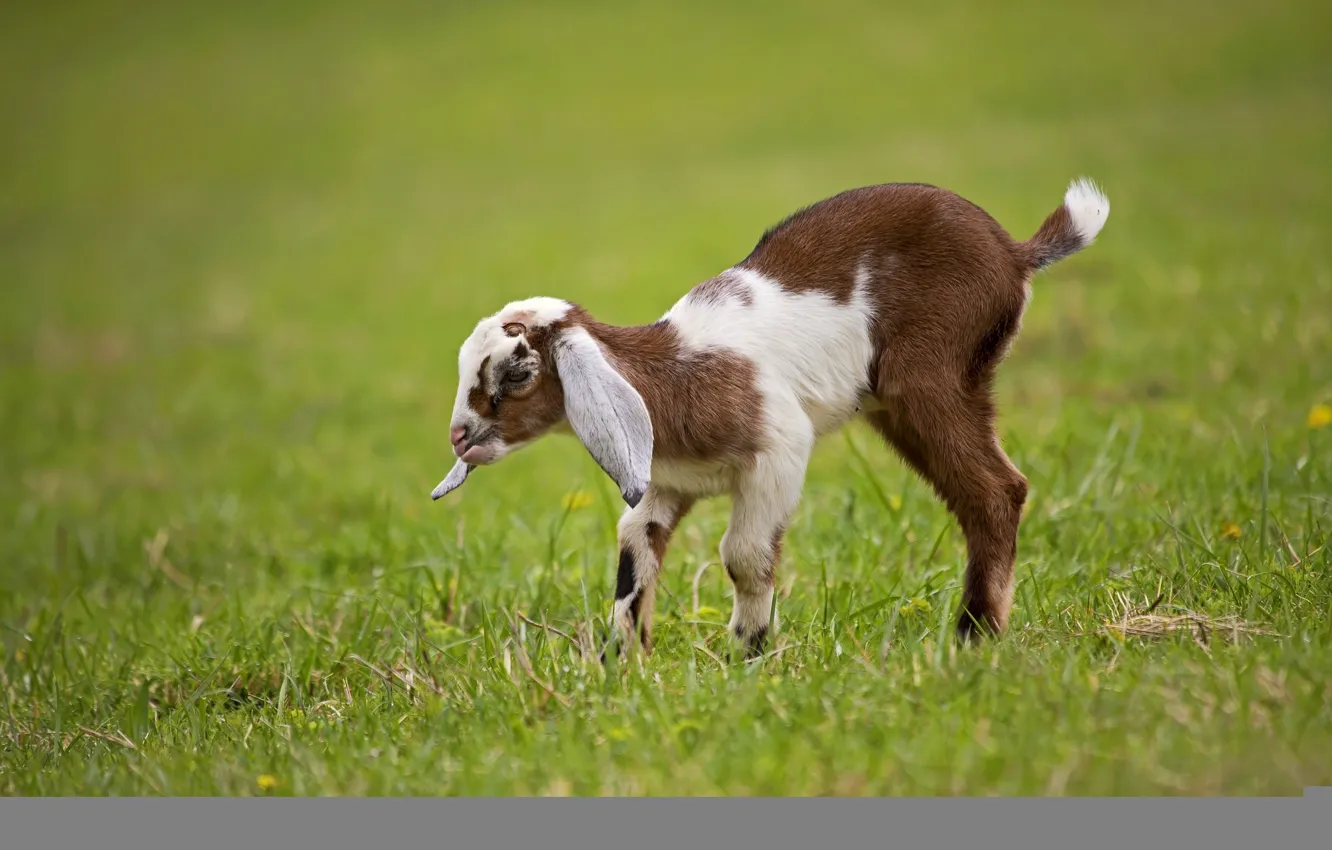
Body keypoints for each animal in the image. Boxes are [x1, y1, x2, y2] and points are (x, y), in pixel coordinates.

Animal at [431, 178, 1110, 658]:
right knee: (981, 495)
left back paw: (974, 637)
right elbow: (635, 544)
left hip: (933, 375)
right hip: (900, 406)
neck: (674, 374)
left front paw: (748, 654)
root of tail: (1015, 251)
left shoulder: (780, 450)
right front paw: (621, 662)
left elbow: (744, 553)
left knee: (997, 491)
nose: (460, 437)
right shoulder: (666, 480)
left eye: (516, 373)